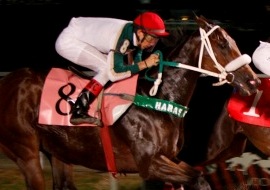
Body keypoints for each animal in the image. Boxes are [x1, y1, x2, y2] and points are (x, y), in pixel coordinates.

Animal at [0, 15, 260, 189]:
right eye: (223, 43)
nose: (254, 81)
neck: (158, 99)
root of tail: (7, 82)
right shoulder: (149, 164)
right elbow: (199, 179)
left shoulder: (171, 159)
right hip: (26, 152)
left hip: (61, 152)